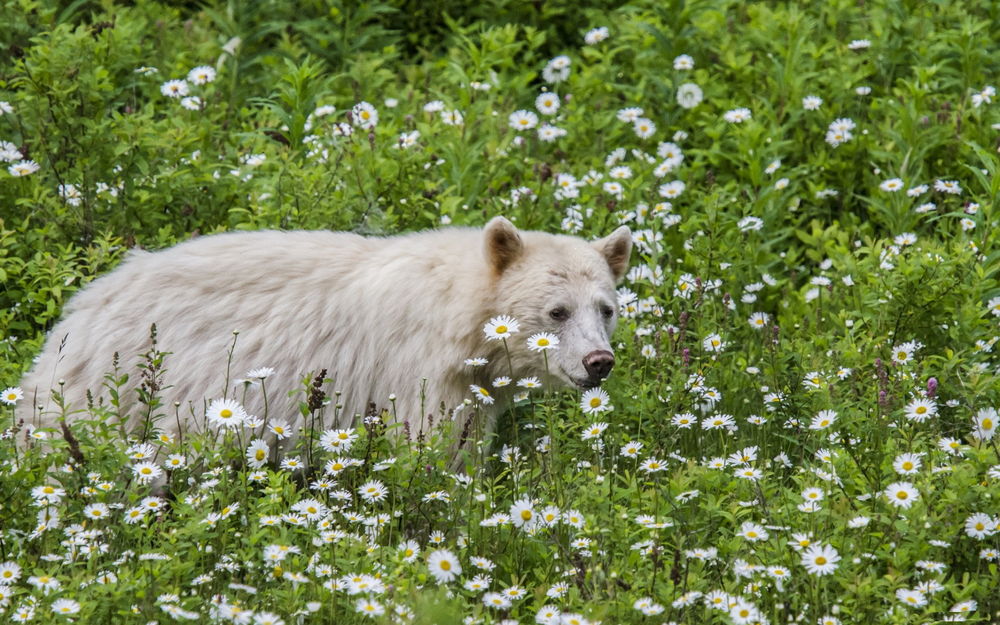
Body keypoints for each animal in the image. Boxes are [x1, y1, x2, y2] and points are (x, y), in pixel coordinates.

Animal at [19, 217, 632, 447]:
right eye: (557, 312)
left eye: (605, 308)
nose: (598, 363)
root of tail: (78, 311)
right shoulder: (413, 376)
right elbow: (430, 450)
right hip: (116, 392)